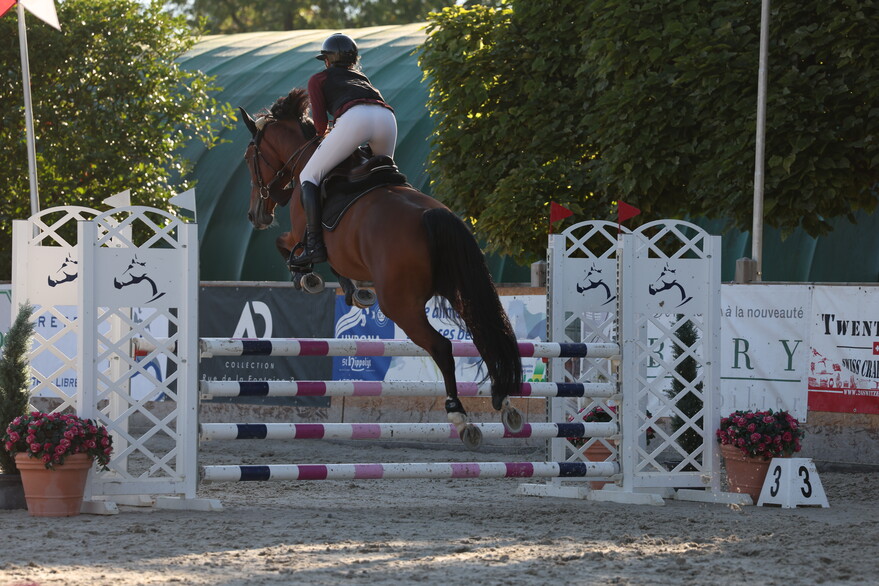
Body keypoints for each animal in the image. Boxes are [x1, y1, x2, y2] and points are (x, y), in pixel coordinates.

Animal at [239, 88, 523, 449]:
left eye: (250, 157)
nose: (255, 215)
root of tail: (434, 216)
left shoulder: (303, 231)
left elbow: (289, 248)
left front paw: (307, 277)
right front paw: (355, 292)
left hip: (400, 305)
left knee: (442, 348)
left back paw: (460, 417)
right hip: (460, 290)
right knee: (484, 333)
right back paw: (505, 403)